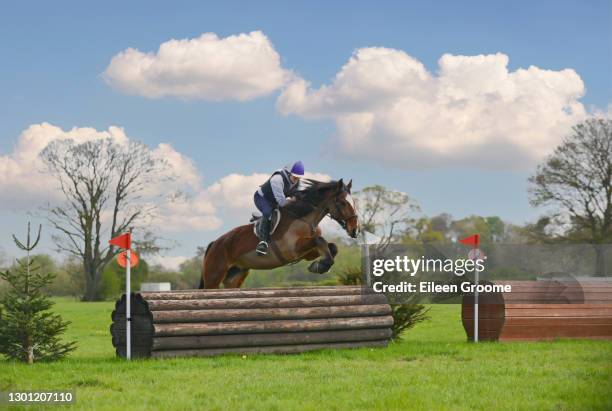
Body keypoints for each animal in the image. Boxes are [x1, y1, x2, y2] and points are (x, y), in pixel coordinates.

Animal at [200, 178, 358, 290]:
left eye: (354, 202)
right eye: (343, 203)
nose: (354, 229)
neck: (303, 219)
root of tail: (215, 243)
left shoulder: (306, 253)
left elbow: (331, 246)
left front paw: (319, 266)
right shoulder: (293, 249)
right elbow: (319, 240)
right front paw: (321, 266)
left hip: (236, 274)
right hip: (214, 276)